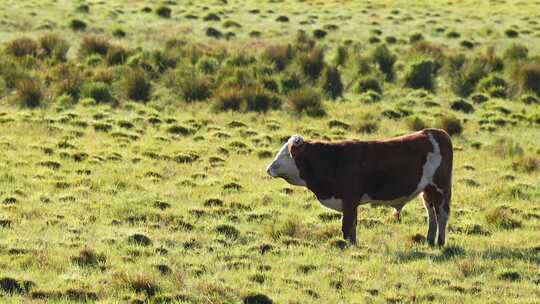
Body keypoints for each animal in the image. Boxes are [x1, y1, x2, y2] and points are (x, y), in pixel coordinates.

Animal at [266, 127, 452, 246]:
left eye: (286, 154)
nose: (269, 168)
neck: (332, 160)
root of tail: (436, 132)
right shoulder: (350, 203)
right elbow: (352, 226)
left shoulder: (349, 200)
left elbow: (347, 226)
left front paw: (350, 245)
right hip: (427, 191)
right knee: (431, 214)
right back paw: (429, 240)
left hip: (441, 188)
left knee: (442, 214)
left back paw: (441, 242)